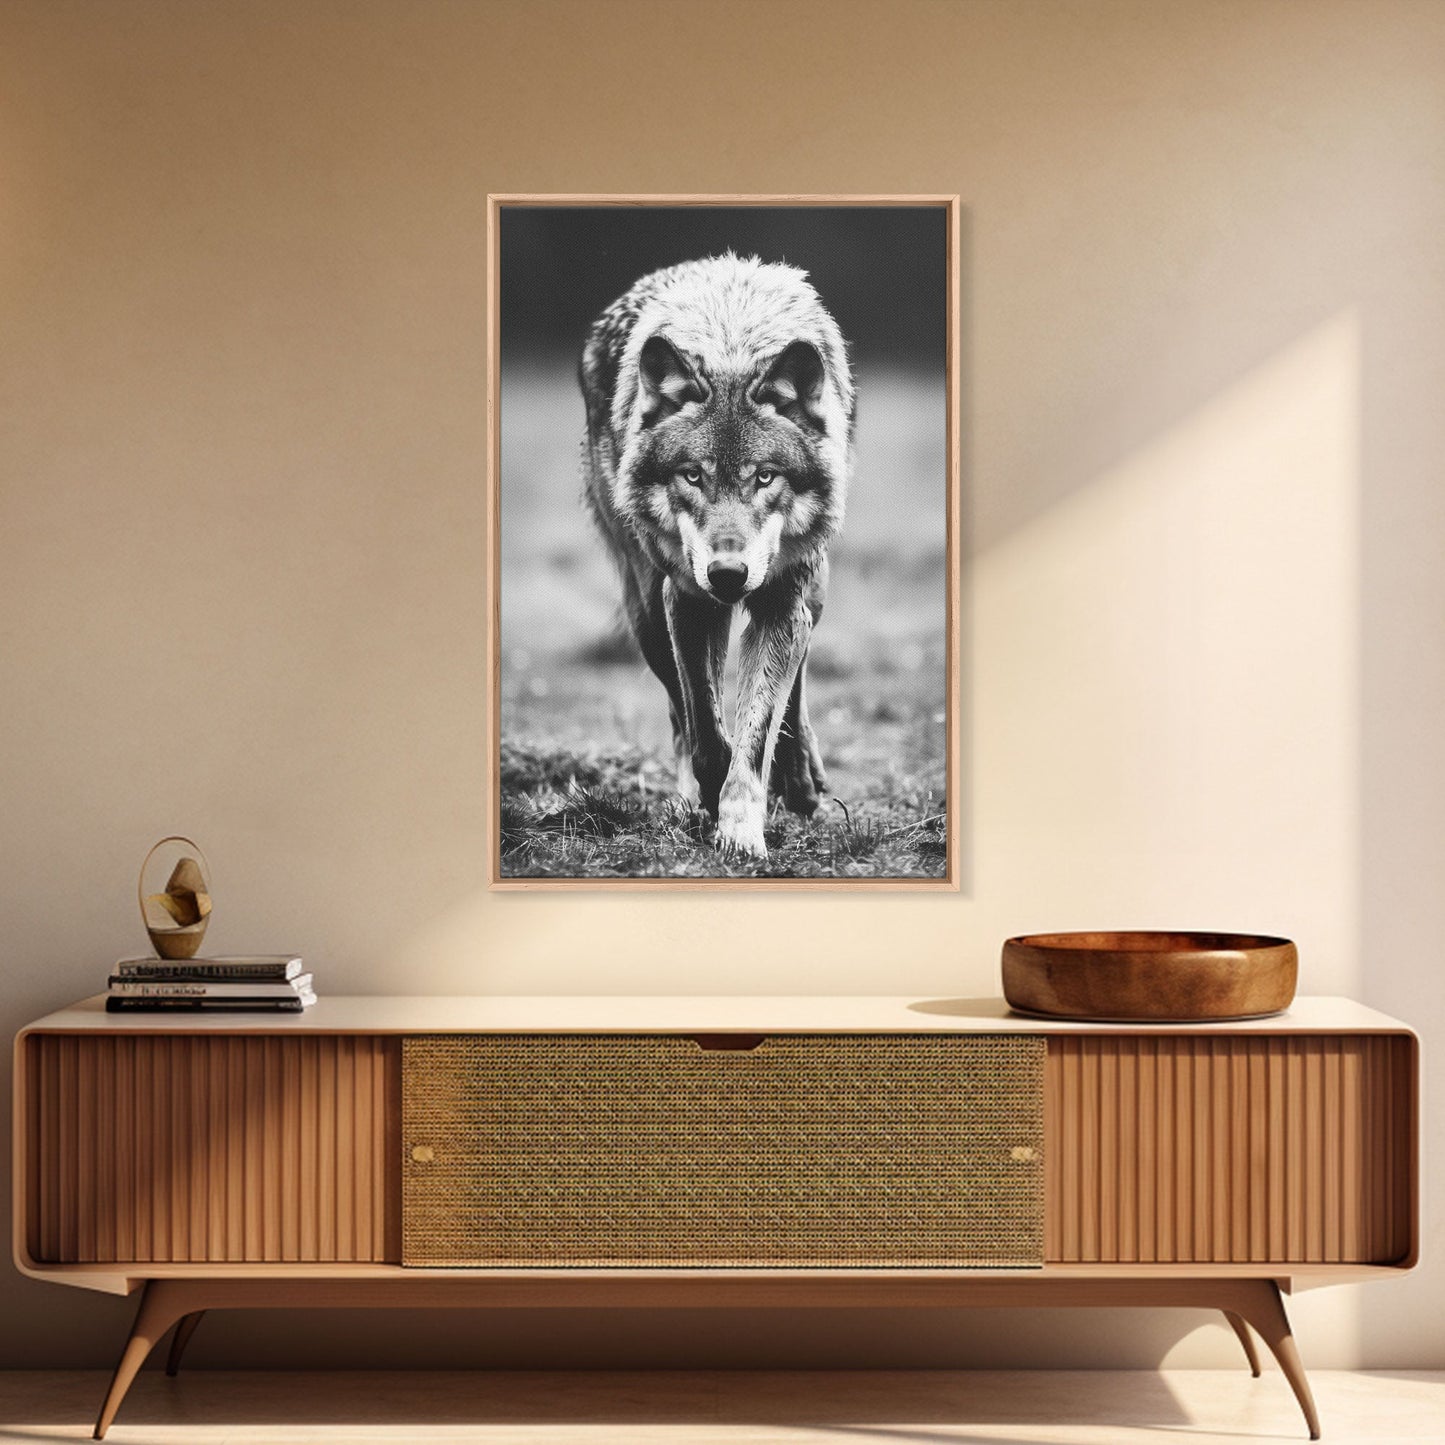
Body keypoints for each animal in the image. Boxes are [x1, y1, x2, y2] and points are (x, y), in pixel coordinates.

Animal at [580, 253, 855, 859]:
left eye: (765, 477)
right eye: (692, 476)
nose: (728, 574)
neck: (731, 343)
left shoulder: (779, 601)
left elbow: (757, 726)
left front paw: (741, 829)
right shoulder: (685, 599)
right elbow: (705, 726)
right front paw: (712, 792)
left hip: (811, 588)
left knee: (796, 680)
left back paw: (801, 778)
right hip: (646, 610)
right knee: (680, 714)